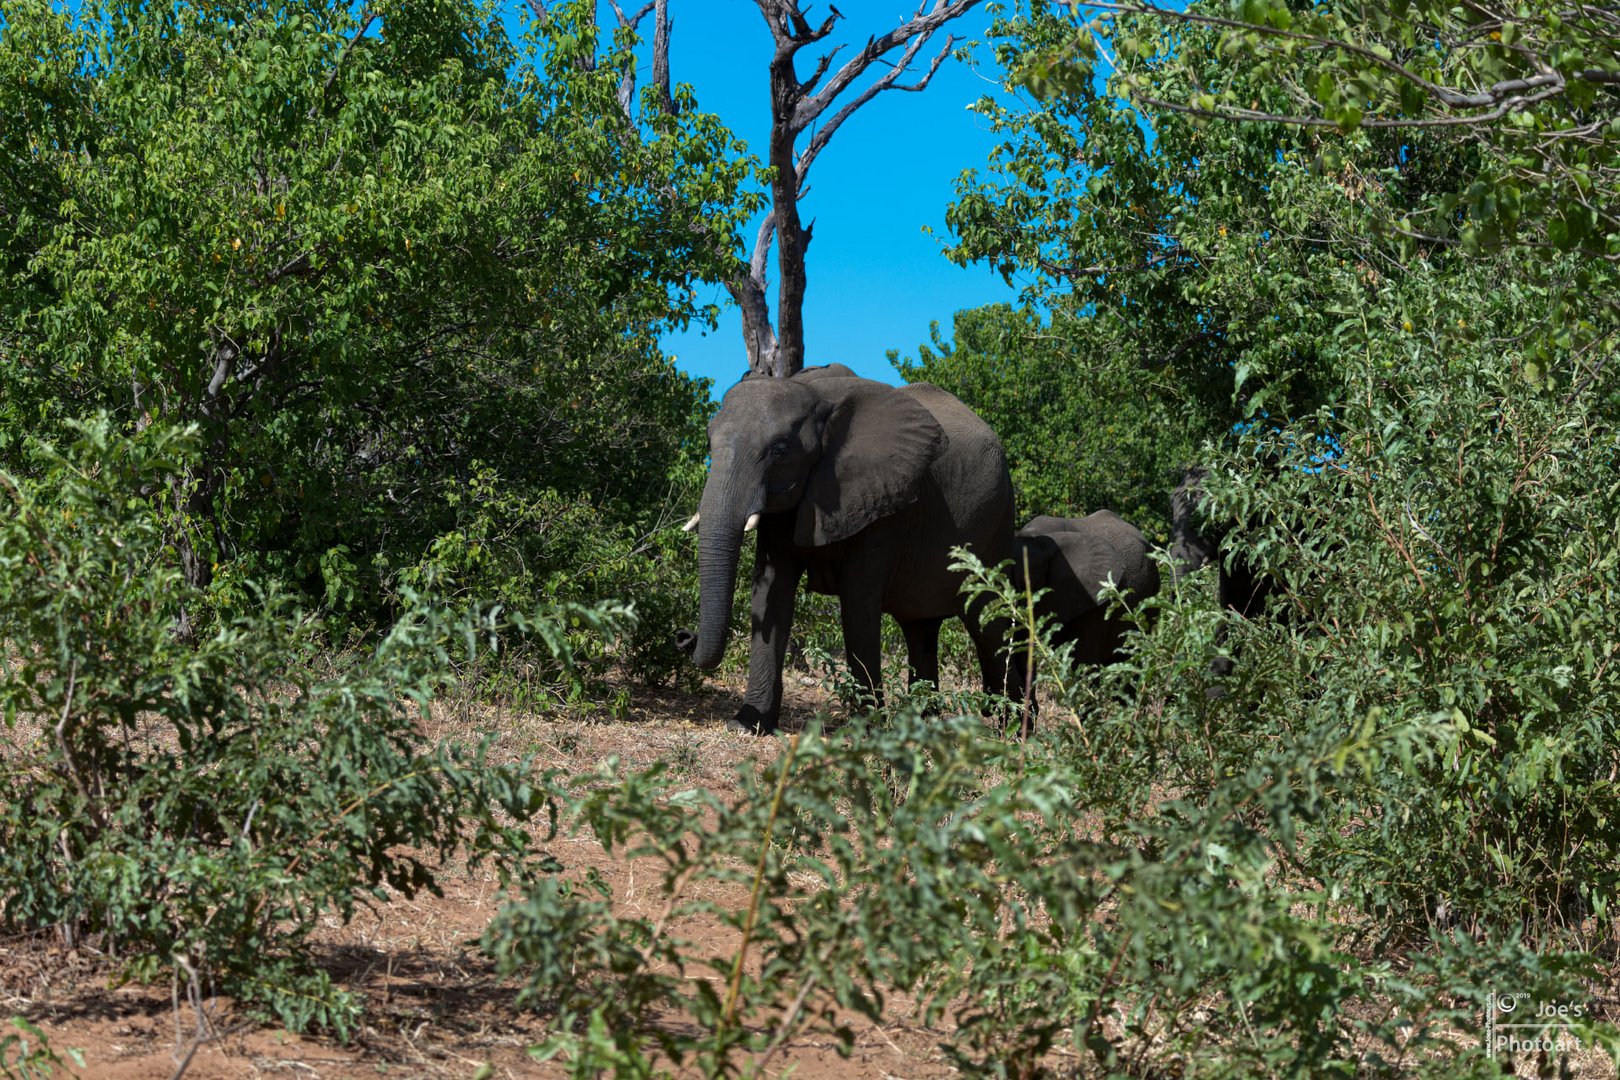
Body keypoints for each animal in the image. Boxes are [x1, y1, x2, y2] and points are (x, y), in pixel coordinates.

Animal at [677, 362, 1017, 735]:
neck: (815, 396)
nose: (683, 637)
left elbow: (858, 601)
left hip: (998, 522)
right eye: (709, 441)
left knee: (989, 622)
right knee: (921, 629)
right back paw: (926, 729)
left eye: (780, 450)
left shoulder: (885, 502)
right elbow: (770, 592)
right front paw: (746, 725)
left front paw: (866, 733)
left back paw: (1017, 731)